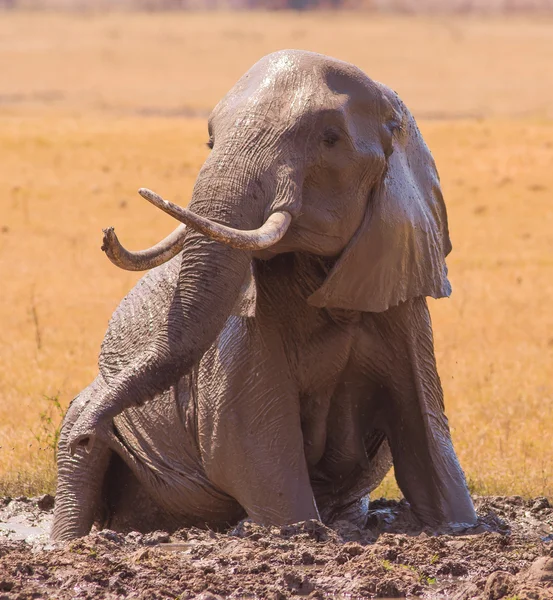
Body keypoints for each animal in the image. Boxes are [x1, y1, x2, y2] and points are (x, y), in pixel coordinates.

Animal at [50, 49, 474, 540]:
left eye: (330, 139)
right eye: (211, 139)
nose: (107, 232)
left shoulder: (402, 296)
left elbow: (428, 436)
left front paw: (462, 528)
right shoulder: (244, 330)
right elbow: (250, 445)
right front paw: (299, 532)